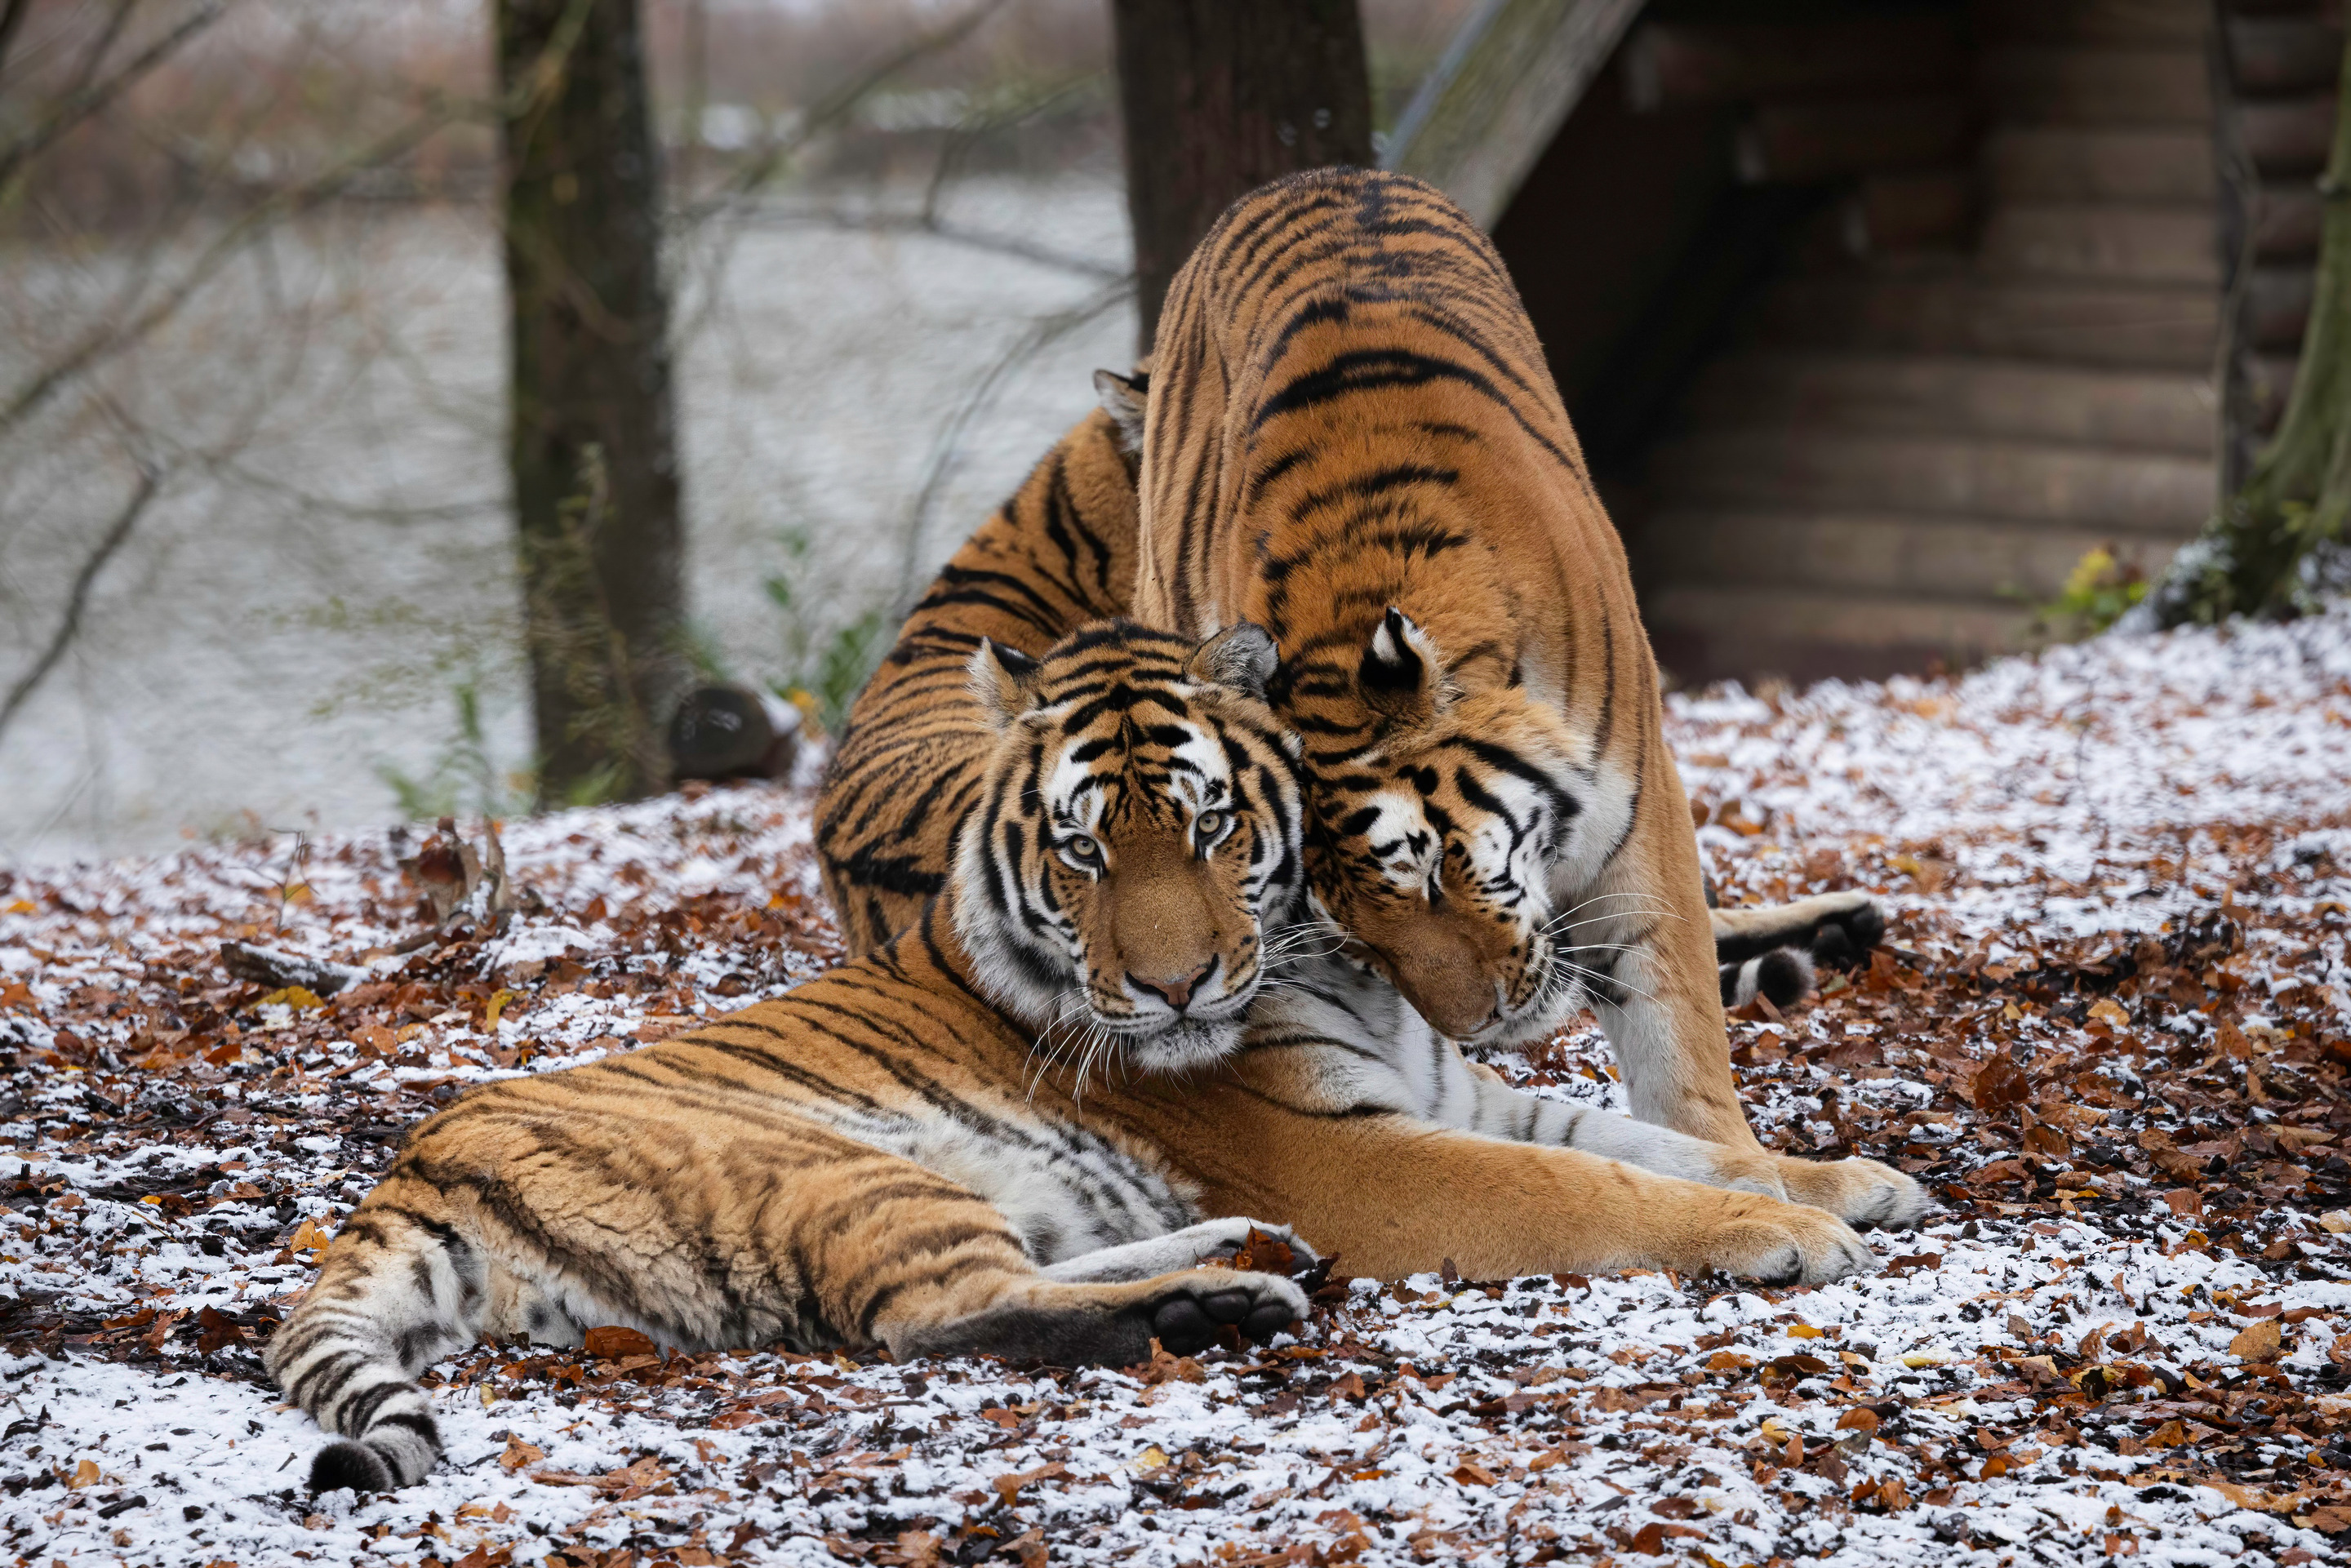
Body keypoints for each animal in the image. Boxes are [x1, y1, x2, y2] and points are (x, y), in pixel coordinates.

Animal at [276, 622, 1876, 1497]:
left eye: (1218, 824)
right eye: (1086, 850)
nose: (1173, 985)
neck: (1356, 983)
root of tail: (412, 1168)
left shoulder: (1464, 1095)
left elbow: (1659, 1144)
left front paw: (1844, 1181)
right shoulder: (1358, 1156)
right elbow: (1606, 1193)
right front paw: (1781, 1233)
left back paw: (1239, 1259)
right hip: (846, 1170)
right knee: (942, 1319)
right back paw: (1219, 1304)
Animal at [1126, 167, 1921, 1227]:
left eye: (1425, 870)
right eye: (1358, 944)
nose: (1483, 1027)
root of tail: (1316, 173)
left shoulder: (1641, 813)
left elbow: (1676, 1024)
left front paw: (1740, 1157)